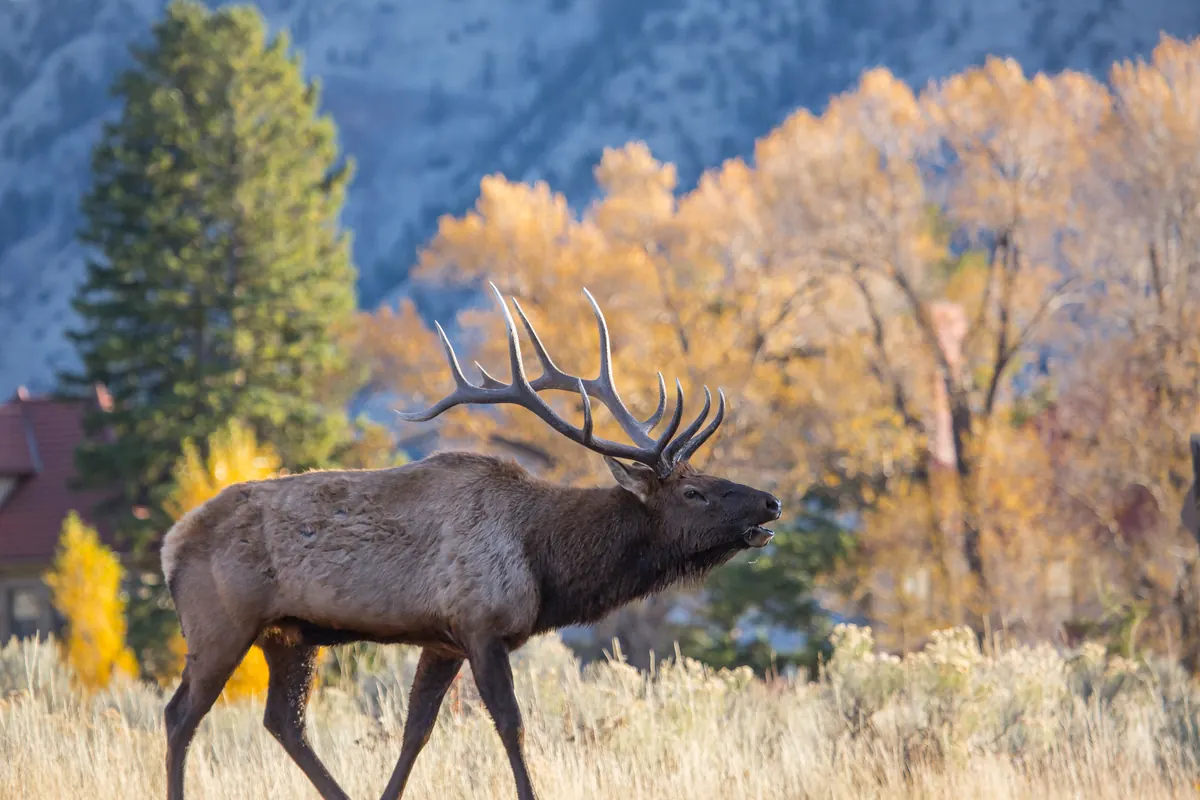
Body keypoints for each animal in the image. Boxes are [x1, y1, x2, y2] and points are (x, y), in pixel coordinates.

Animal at [160, 282, 783, 800]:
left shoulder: (443, 641)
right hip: (220, 624)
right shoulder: (482, 626)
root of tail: (170, 544)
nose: (771, 502)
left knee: (283, 721)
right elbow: (512, 726)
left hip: (289, 634)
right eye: (695, 493)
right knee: (180, 715)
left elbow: (416, 731)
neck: (545, 562)